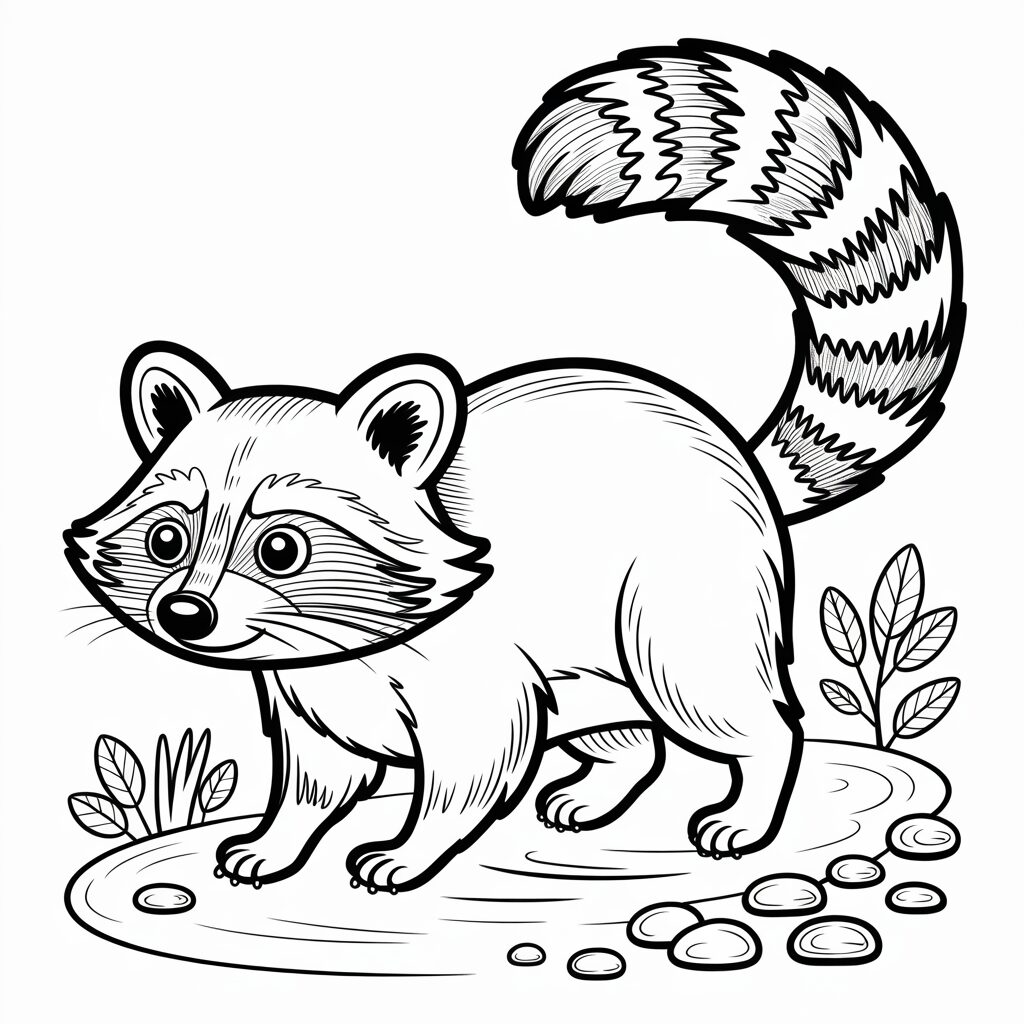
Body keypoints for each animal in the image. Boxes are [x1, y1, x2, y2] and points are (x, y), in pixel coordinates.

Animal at [66, 40, 962, 893]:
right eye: (167, 541)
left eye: (280, 548)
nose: (184, 615)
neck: (333, 640)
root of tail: (732, 449)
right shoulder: (305, 688)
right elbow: (319, 777)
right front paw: (279, 837)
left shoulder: (474, 669)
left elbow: (473, 766)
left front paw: (411, 849)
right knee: (624, 725)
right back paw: (606, 780)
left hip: (677, 598)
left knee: (716, 700)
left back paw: (753, 791)